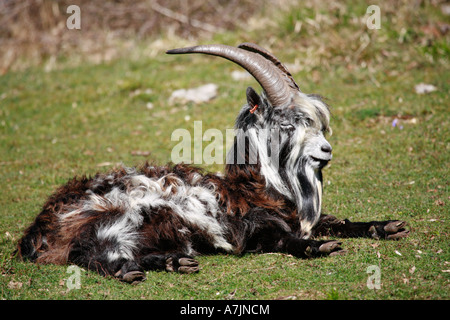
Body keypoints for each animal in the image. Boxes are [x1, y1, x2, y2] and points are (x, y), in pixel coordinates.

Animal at [17, 42, 410, 282]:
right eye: (287, 124)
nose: (327, 150)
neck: (256, 188)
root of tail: (38, 226)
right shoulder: (246, 230)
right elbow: (283, 240)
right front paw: (318, 247)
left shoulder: (295, 217)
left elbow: (337, 221)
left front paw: (387, 226)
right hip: (110, 219)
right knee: (85, 251)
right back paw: (129, 270)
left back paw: (176, 261)